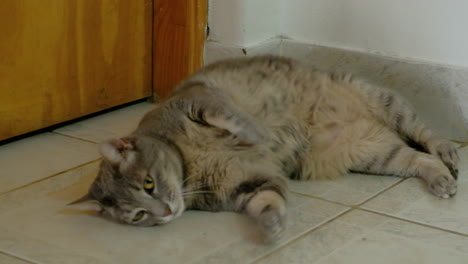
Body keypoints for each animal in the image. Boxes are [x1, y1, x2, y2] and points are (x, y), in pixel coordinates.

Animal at [71, 55, 458, 243]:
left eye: (148, 184)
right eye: (137, 216)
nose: (164, 212)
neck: (190, 167)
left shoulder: (198, 100)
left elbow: (234, 119)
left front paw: (256, 134)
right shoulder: (246, 185)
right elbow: (268, 201)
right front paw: (272, 226)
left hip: (382, 99)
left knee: (424, 134)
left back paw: (448, 152)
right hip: (372, 152)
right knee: (417, 158)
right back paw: (441, 179)